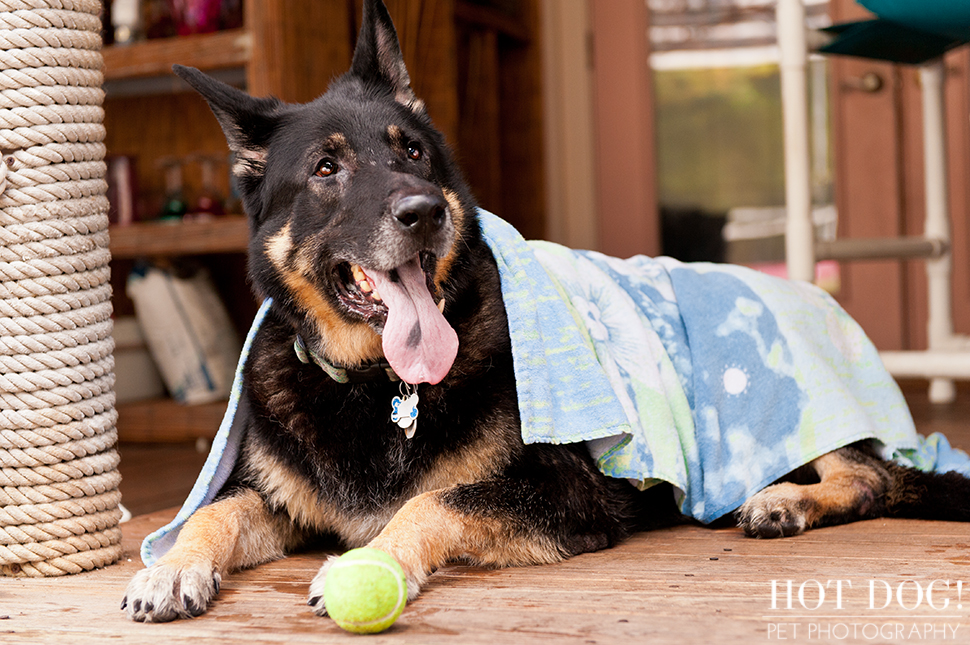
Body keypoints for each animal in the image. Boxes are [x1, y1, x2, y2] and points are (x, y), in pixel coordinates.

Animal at [121, 0, 968, 624]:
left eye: (414, 152)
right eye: (326, 168)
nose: (424, 212)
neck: (375, 383)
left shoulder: (565, 491)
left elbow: (438, 497)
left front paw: (377, 557)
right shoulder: (278, 498)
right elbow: (212, 512)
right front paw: (172, 566)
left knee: (870, 476)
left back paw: (786, 500)